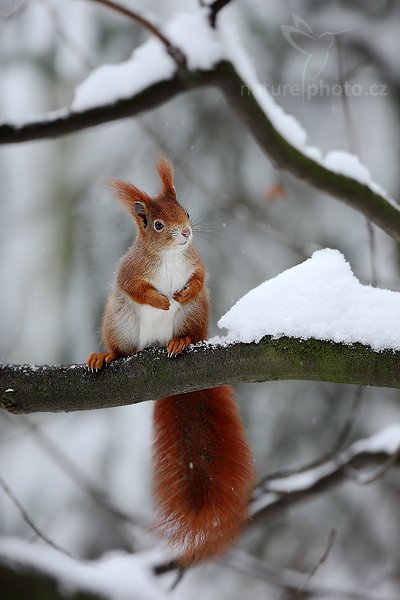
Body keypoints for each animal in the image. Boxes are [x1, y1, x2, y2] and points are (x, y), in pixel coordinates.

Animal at [88, 157, 256, 564]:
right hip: (120, 324)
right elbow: (135, 287)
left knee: (190, 332)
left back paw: (180, 342)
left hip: (194, 319)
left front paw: (181, 293)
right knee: (121, 350)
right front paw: (160, 300)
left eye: (188, 212)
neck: (169, 257)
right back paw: (105, 355)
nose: (185, 233)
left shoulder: (196, 264)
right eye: (157, 225)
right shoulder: (129, 271)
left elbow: (200, 277)